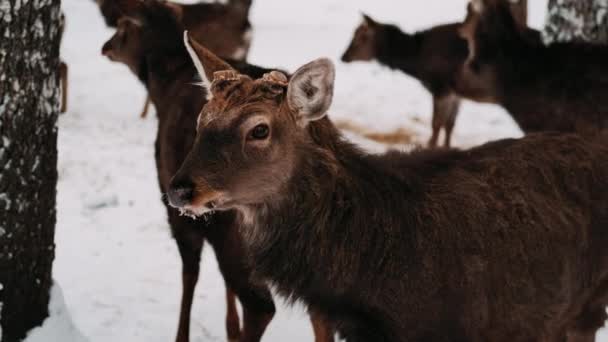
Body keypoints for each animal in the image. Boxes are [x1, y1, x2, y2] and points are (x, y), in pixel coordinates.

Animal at [342, 0, 536, 148]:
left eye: (361, 37)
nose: (344, 56)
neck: (417, 62)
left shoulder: (440, 86)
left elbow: (436, 124)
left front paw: (431, 146)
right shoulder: (456, 93)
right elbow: (449, 125)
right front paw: (446, 147)